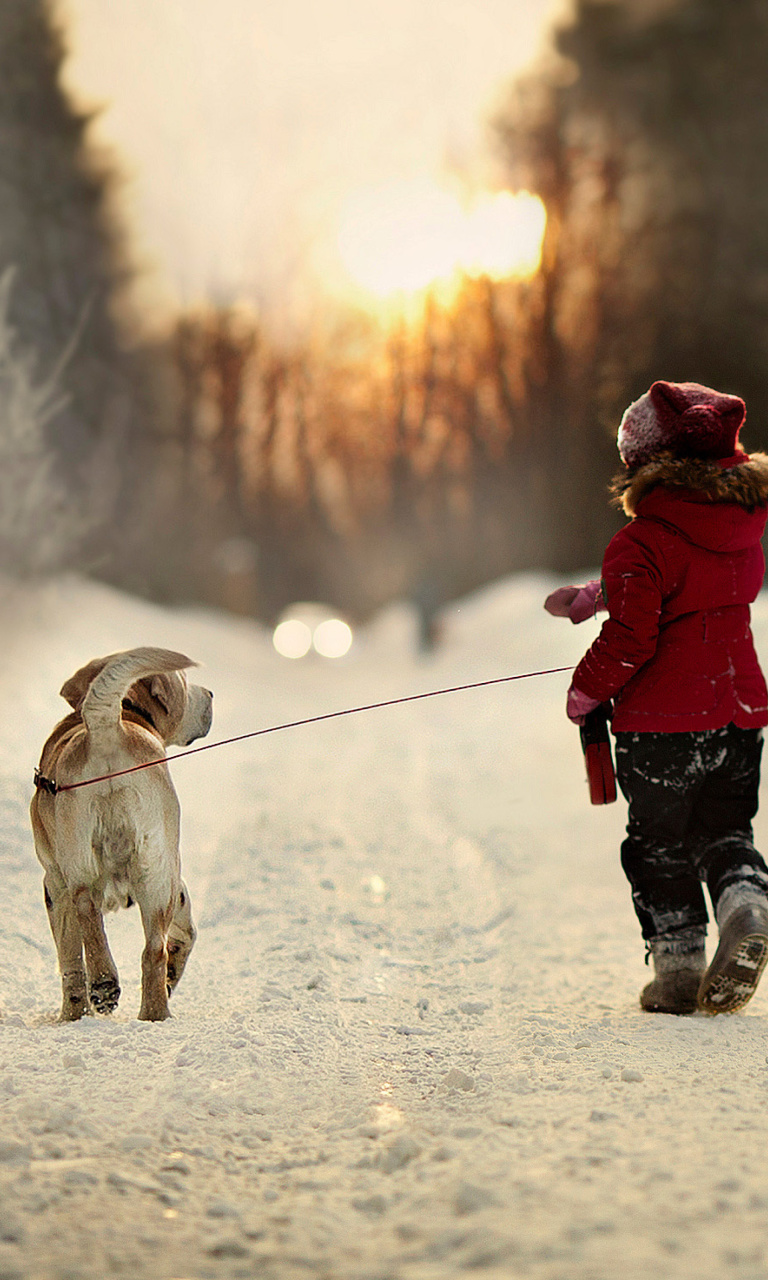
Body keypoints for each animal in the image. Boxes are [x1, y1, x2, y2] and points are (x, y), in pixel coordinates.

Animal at [31, 650, 212, 1018]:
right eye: (186, 686)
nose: (211, 694)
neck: (129, 712)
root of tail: (107, 728)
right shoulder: (174, 880)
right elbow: (186, 933)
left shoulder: (53, 882)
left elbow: (69, 957)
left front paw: (72, 1016)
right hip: (157, 871)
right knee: (152, 950)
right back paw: (152, 1012)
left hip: (87, 864)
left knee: (87, 913)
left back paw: (104, 985)